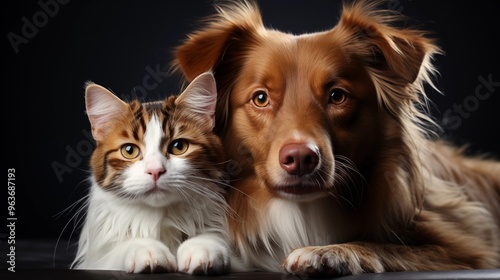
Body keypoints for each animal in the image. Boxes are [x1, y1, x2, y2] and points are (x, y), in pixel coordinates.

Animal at [70, 71, 230, 274]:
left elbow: (212, 237)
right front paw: (146, 249)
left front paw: (202, 248)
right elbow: (125, 247)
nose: (155, 170)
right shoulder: (95, 259)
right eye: (129, 150)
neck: (160, 219)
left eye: (179, 147)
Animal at [171, 0, 496, 276]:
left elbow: (386, 246)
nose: (300, 158)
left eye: (337, 96)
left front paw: (327, 252)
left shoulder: (470, 249)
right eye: (260, 98)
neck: (300, 213)